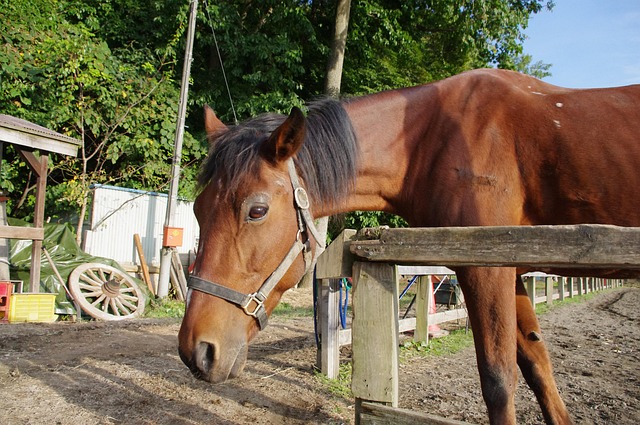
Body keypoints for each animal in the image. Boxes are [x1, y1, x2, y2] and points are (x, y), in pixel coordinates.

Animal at [178, 68, 640, 424]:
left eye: (256, 210)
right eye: (198, 209)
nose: (196, 351)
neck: (433, 138)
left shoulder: (487, 268)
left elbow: (499, 381)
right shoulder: (512, 270)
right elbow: (538, 366)